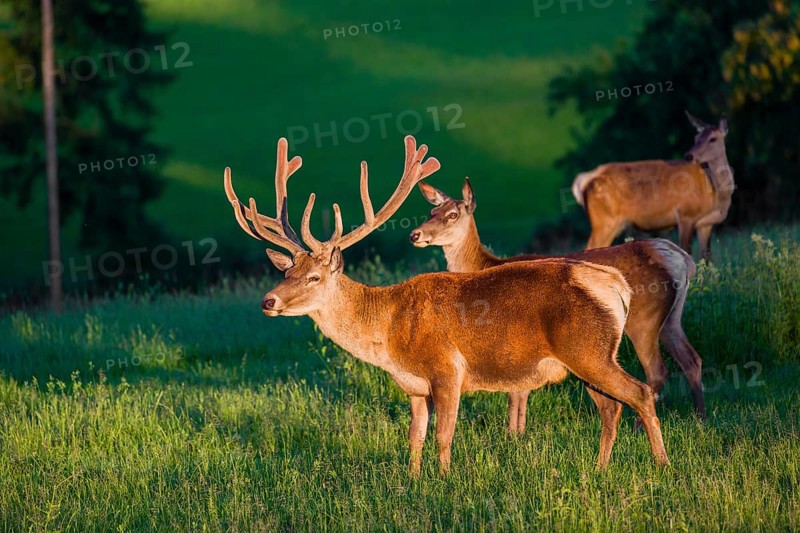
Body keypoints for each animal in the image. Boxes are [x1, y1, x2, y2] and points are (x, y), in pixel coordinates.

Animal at [224, 135, 669, 476]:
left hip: (588, 350)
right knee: (612, 408)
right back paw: (600, 469)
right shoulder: (412, 385)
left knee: (640, 393)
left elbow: (444, 434)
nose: (268, 300)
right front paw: (412, 481)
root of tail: (617, 285)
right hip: (587, 358)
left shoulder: (447, 368)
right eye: (287, 271)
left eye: (314, 277)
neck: (388, 330)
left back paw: (662, 466)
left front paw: (444, 480)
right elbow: (415, 436)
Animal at [409, 178, 705, 435]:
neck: (482, 265)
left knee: (657, 371)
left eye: (452, 215)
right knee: (692, 359)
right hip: (671, 320)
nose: (416, 234)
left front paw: (513, 436)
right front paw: (518, 434)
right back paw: (699, 419)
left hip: (643, 320)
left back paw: (638, 428)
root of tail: (681, 259)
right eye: (432, 210)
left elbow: (516, 391)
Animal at [572, 112, 734, 260]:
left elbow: (707, 257)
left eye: (713, 139)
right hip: (604, 221)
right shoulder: (686, 213)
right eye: (696, 138)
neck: (715, 192)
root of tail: (585, 178)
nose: (689, 155)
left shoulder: (705, 224)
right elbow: (686, 251)